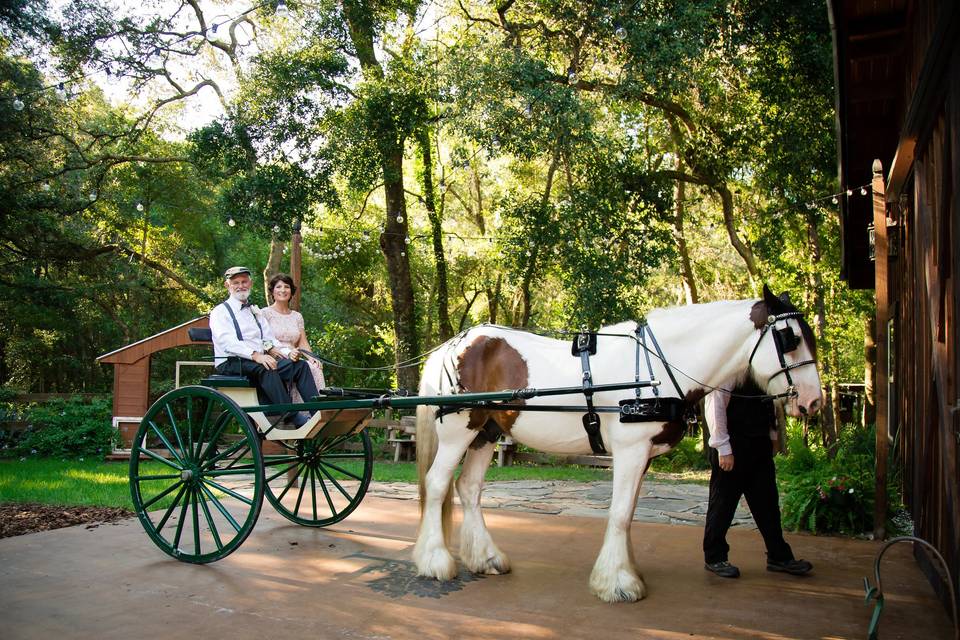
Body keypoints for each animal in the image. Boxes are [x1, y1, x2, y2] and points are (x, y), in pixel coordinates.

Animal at [412, 288, 824, 604]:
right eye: (789, 339)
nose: (813, 402)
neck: (656, 369)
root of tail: (452, 346)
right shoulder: (630, 451)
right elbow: (621, 514)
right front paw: (618, 584)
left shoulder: (642, 456)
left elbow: (628, 515)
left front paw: (627, 571)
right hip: (460, 430)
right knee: (437, 484)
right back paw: (435, 562)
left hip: (487, 433)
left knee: (468, 488)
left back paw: (487, 558)